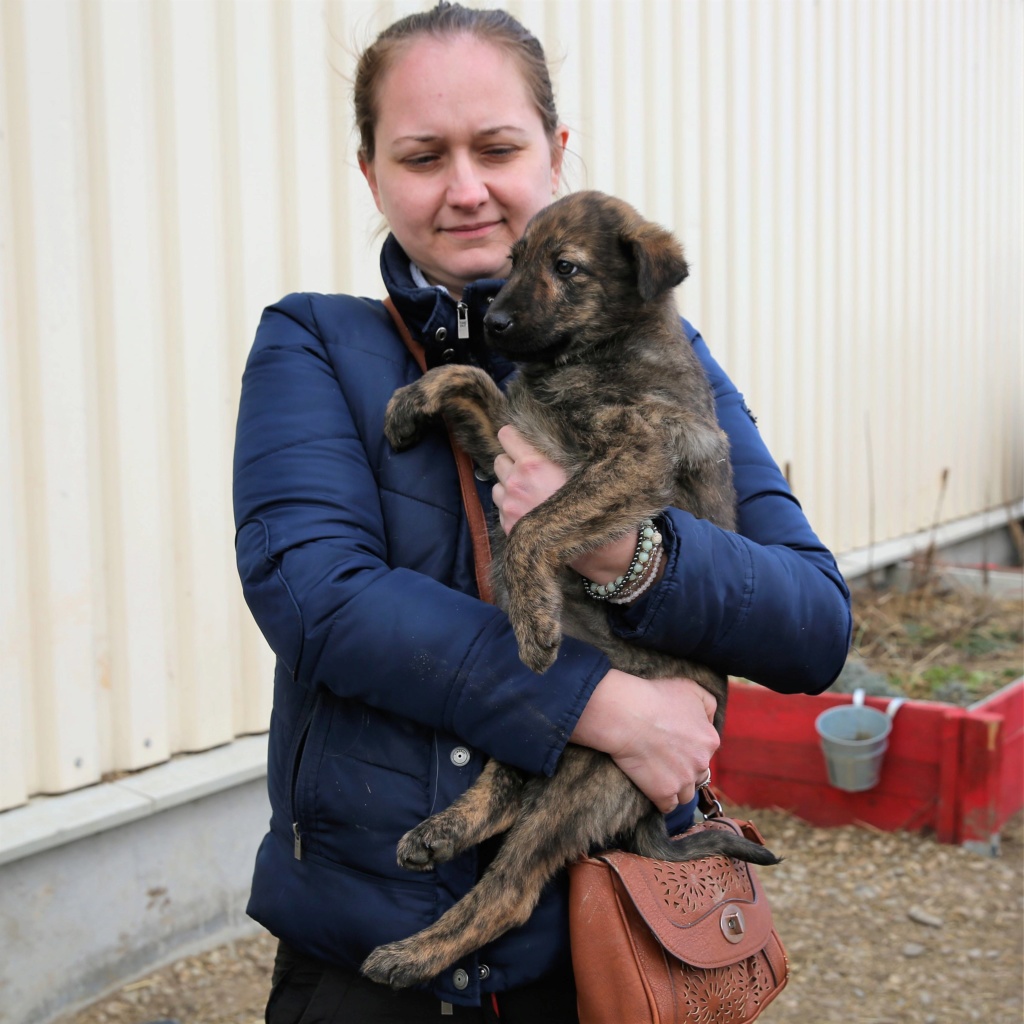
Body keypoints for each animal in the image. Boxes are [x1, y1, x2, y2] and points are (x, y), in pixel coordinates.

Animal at [360, 192, 774, 991]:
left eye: (568, 268)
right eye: (513, 260)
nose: (491, 323)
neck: (590, 357)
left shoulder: (631, 455)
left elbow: (534, 526)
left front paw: (532, 617)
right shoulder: (513, 436)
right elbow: (469, 380)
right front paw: (407, 403)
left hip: (590, 771)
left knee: (511, 886)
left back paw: (411, 952)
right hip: (562, 722)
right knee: (507, 780)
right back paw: (441, 831)